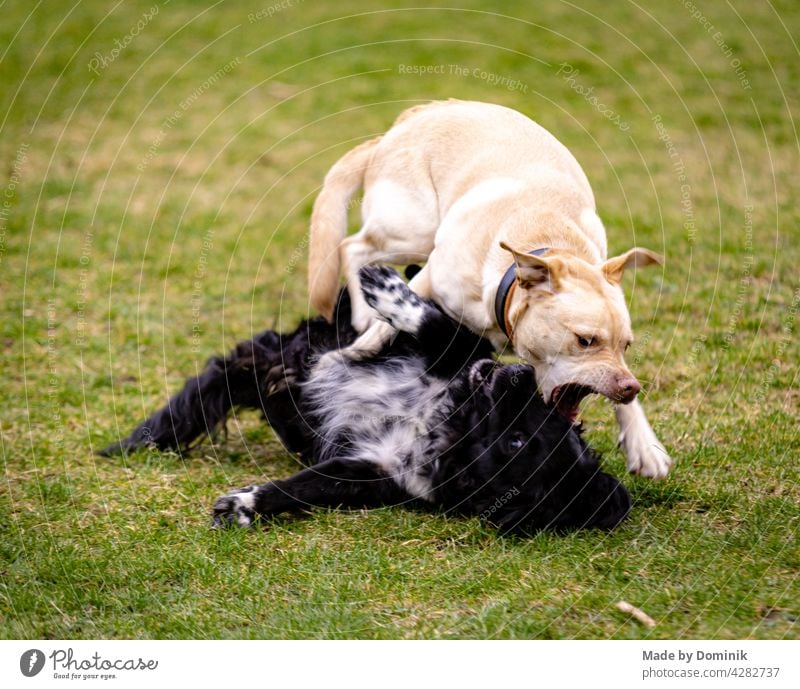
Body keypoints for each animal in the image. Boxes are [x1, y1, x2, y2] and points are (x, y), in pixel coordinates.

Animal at [100, 264, 628, 532]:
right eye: (549, 412)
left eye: (517, 441)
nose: (520, 372)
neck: (444, 420)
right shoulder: (458, 350)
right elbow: (432, 323)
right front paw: (385, 286)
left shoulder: (368, 474)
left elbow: (303, 486)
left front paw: (248, 504)